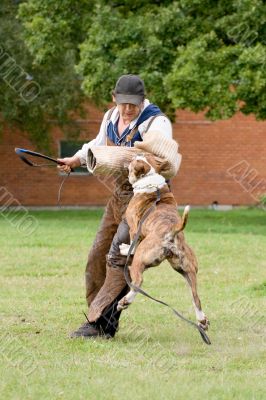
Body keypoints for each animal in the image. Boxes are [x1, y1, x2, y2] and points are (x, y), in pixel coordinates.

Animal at [117, 153, 209, 332]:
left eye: (135, 161)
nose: (135, 153)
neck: (150, 179)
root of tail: (172, 233)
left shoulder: (134, 228)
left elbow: (132, 244)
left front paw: (125, 248)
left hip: (140, 258)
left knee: (138, 282)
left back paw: (125, 301)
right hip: (188, 270)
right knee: (196, 297)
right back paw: (202, 321)